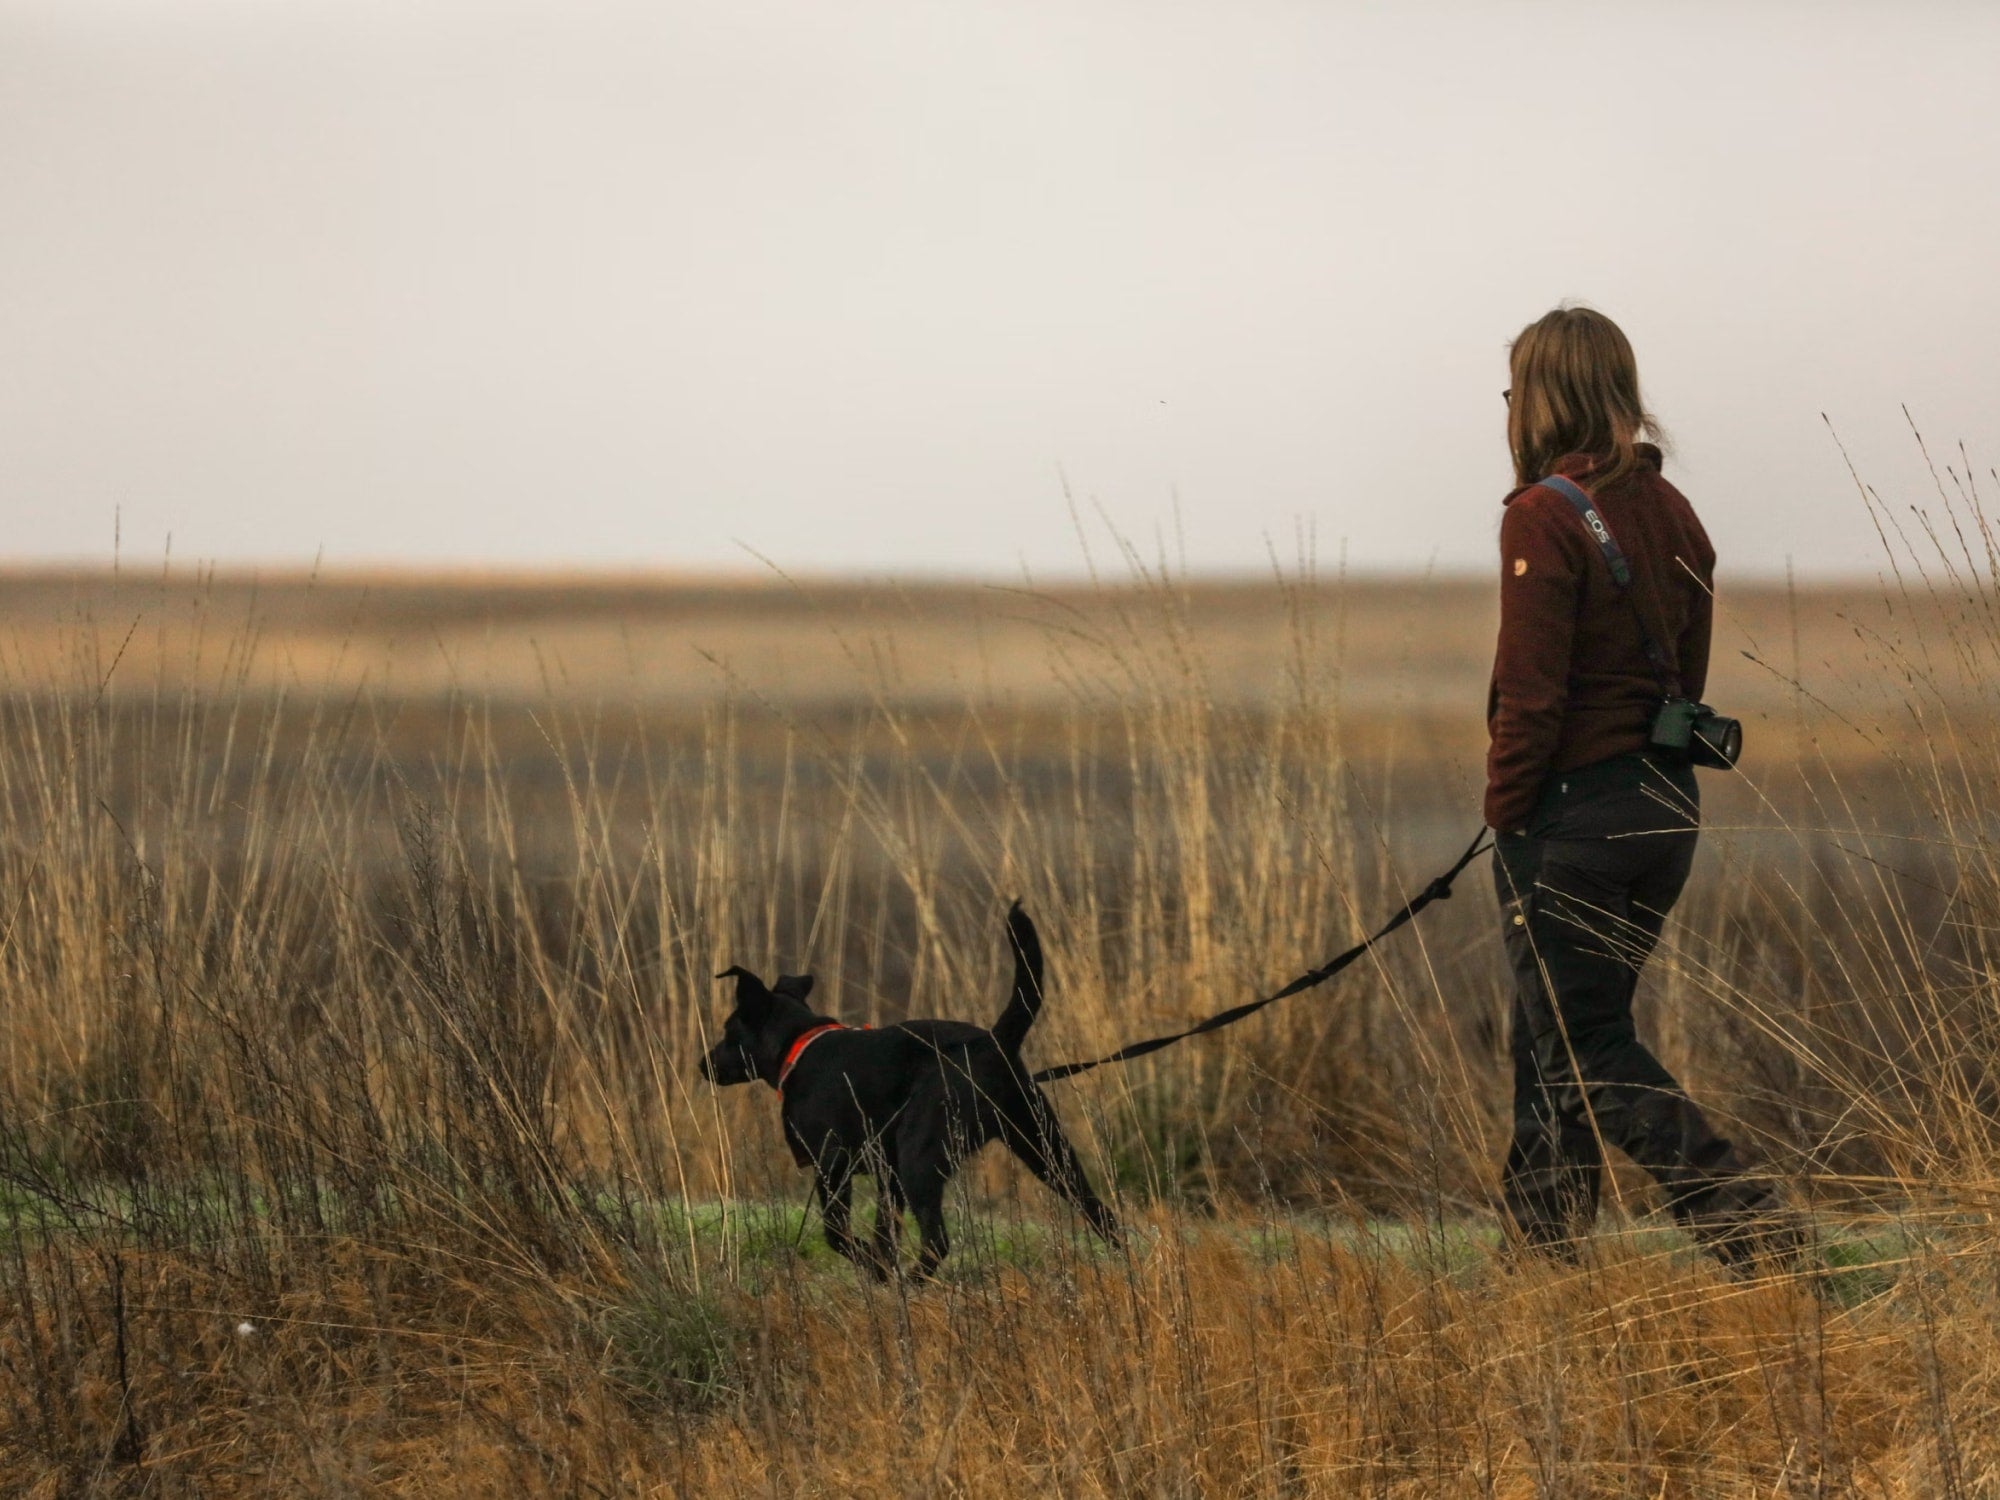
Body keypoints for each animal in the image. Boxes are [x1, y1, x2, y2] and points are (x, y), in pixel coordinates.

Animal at [696, 904, 1120, 1280]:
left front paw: (873, 1266)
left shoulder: (833, 1162)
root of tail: (994, 1042)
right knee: (1101, 1211)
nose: (703, 1063)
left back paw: (913, 1281)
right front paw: (882, 1269)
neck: (798, 1046)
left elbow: (836, 1232)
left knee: (937, 1240)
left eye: (729, 1029)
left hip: (921, 1155)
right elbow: (885, 1232)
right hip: (1043, 1146)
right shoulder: (888, 1174)